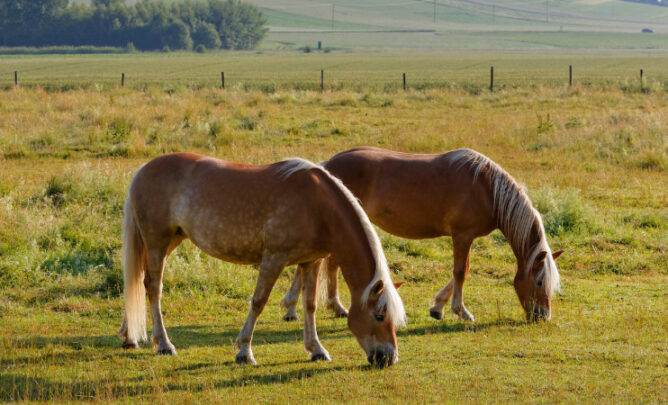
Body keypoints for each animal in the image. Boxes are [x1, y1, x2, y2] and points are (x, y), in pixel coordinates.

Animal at [117, 152, 404, 366]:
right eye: (379, 316)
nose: (389, 358)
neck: (318, 206)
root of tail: (143, 170)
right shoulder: (273, 259)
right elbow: (258, 302)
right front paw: (244, 351)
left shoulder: (311, 262)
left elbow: (309, 305)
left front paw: (316, 349)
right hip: (157, 242)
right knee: (154, 288)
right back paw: (164, 344)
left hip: (169, 242)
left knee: (139, 281)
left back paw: (129, 336)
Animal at [282, 148, 564, 322]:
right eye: (540, 282)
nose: (543, 316)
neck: (487, 188)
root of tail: (326, 166)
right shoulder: (463, 236)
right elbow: (461, 271)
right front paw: (461, 311)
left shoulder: (465, 237)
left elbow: (457, 273)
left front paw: (438, 307)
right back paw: (306, 307)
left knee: (326, 263)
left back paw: (314, 307)